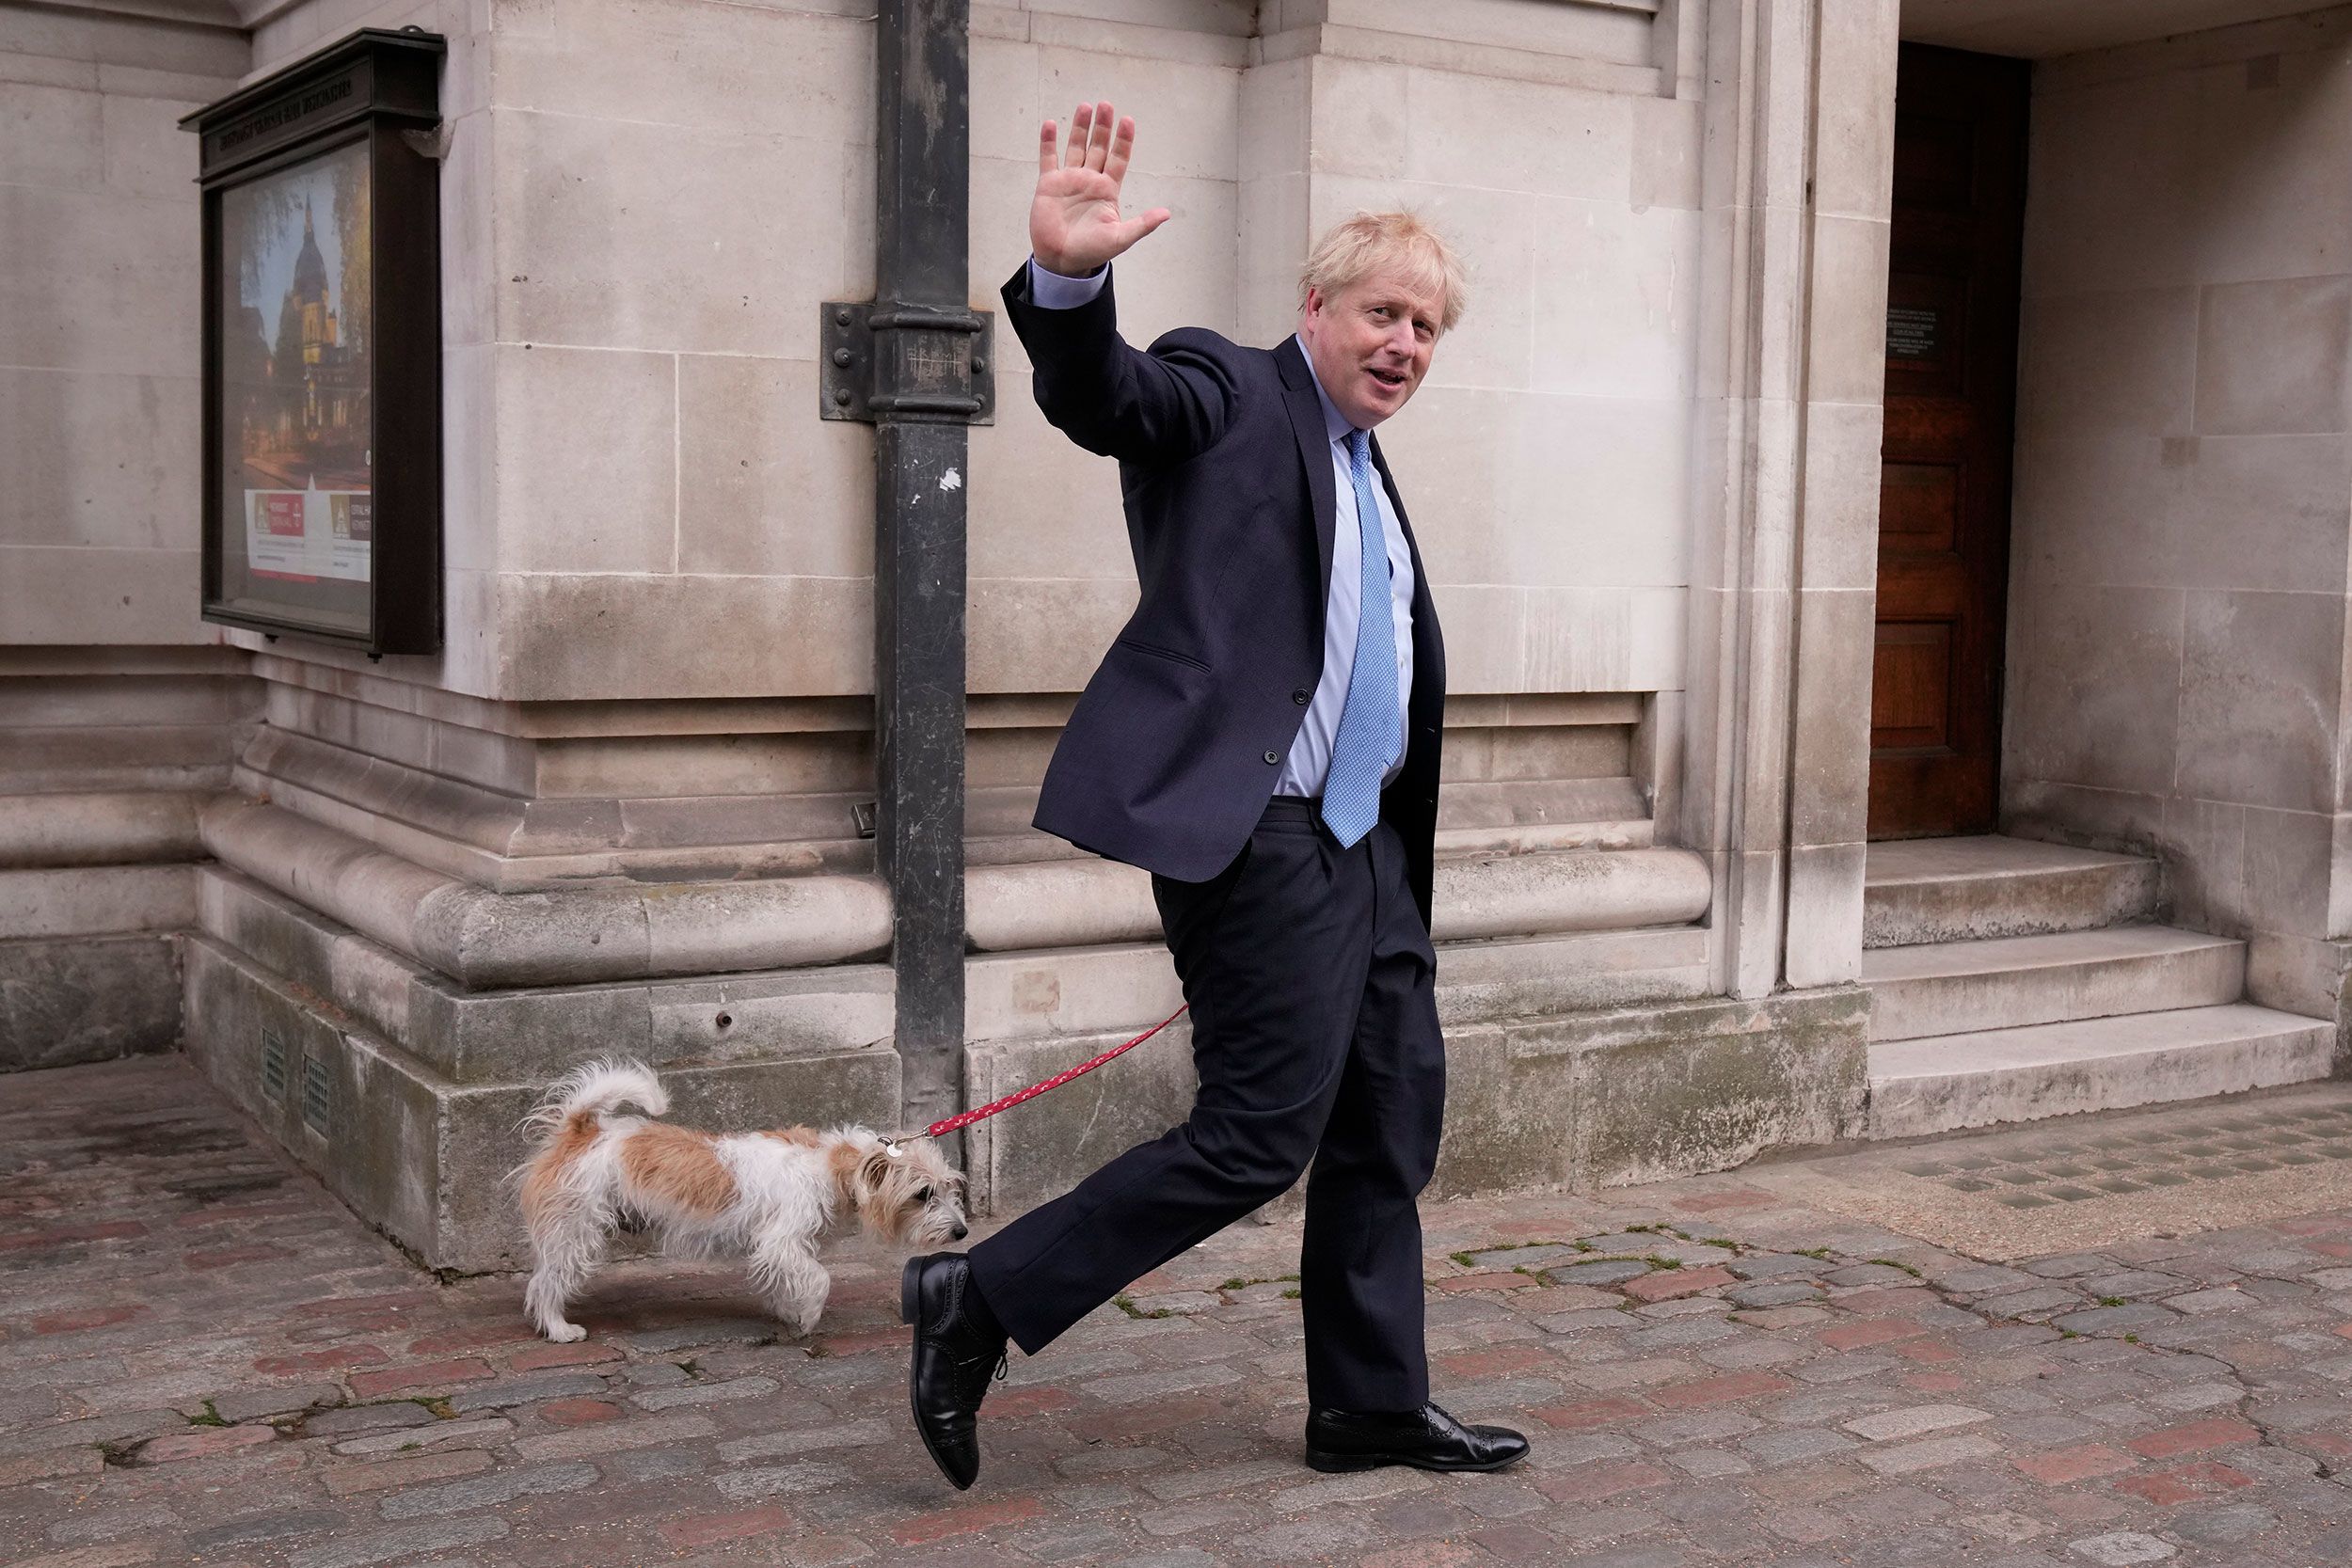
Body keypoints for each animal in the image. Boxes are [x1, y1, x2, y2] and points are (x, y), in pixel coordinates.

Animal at [515, 1062, 964, 1344]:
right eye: (922, 1195)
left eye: (949, 1187)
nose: (962, 1231)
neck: (832, 1166)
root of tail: (583, 1131)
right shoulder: (782, 1242)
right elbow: (820, 1279)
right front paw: (809, 1318)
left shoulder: (779, 1251)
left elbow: (788, 1280)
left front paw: (791, 1312)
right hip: (574, 1232)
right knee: (545, 1283)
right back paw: (558, 1329)